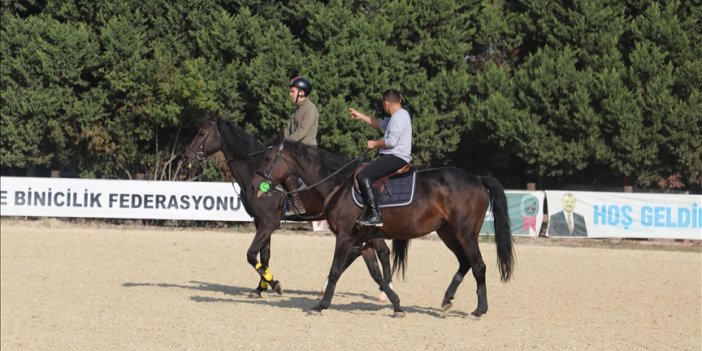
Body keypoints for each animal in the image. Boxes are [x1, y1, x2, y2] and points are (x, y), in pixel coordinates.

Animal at [183, 115, 396, 300]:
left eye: (202, 133)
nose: (186, 158)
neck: (256, 170)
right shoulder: (261, 223)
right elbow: (264, 256)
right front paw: (261, 287)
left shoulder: (268, 223)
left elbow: (251, 255)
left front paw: (274, 284)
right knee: (376, 252)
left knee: (382, 252)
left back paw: (383, 293)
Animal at [256, 140, 516, 320]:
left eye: (268, 157)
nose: (257, 186)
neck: (339, 184)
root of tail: (477, 179)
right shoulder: (363, 241)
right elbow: (376, 274)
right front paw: (397, 305)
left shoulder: (345, 237)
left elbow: (336, 270)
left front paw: (321, 305)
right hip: (449, 233)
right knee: (465, 263)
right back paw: (447, 299)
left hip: (465, 233)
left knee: (478, 266)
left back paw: (479, 310)